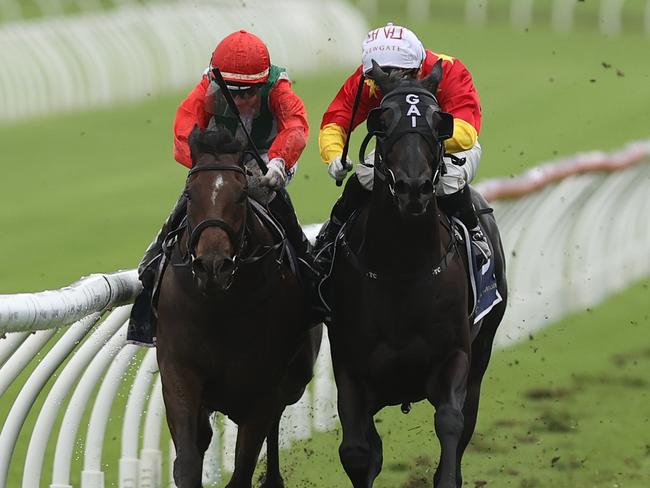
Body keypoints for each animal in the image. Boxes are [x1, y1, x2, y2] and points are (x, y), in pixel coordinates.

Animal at [155, 127, 322, 488]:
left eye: (243, 195)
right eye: (190, 194)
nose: (213, 266)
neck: (221, 308)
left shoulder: (263, 387)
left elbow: (243, 468)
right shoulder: (178, 370)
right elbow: (187, 462)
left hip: (294, 380)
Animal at [330, 62, 506, 488]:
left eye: (438, 120)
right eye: (383, 121)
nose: (414, 188)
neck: (402, 268)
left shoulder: (456, 355)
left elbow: (451, 423)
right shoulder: (350, 368)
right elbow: (357, 452)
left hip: (483, 348)